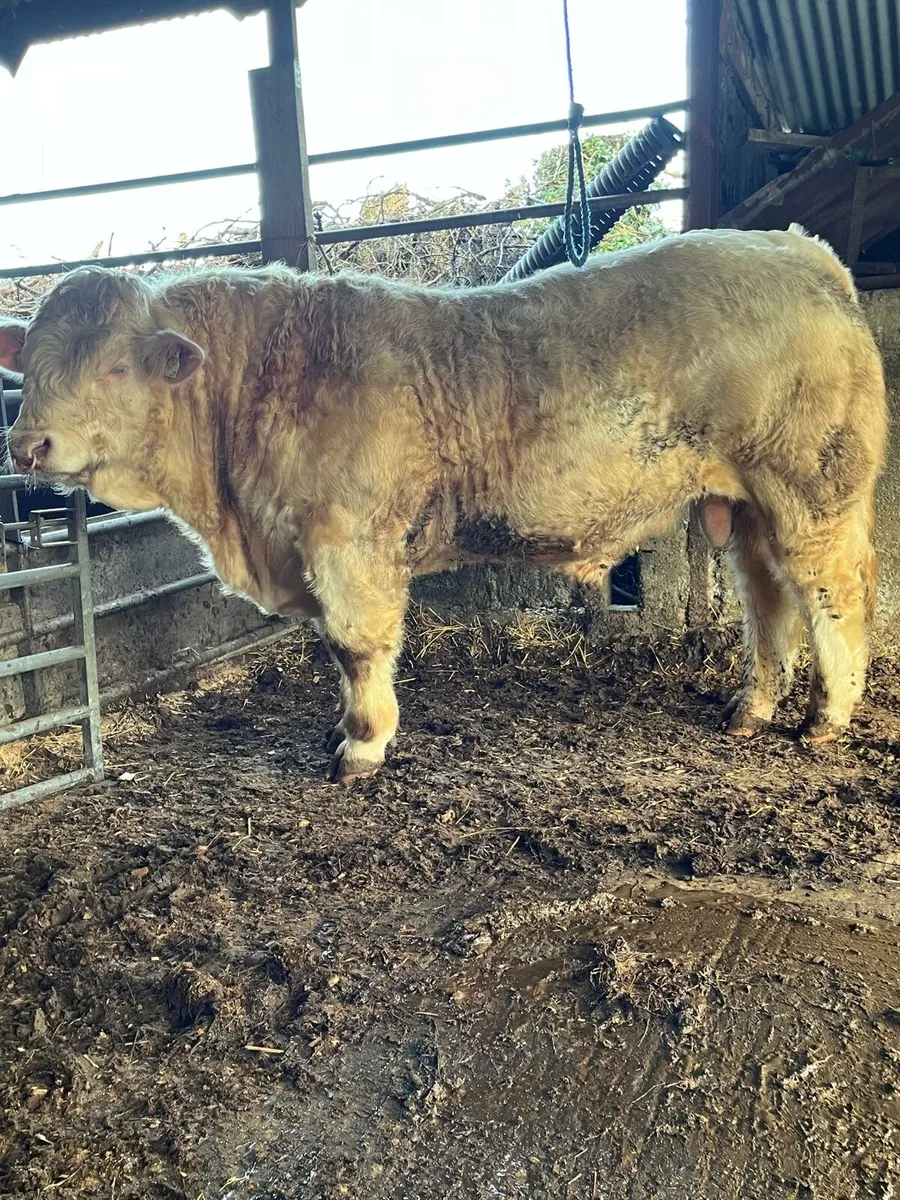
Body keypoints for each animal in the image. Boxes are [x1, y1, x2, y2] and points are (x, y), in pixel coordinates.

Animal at [0, 225, 887, 782]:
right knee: (768, 602)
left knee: (833, 592)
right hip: (747, 509)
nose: (27, 445)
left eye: (115, 366)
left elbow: (357, 646)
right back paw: (754, 706)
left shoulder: (349, 544)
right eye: (31, 363)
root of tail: (800, 249)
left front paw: (361, 746)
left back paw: (828, 715)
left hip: (812, 491)